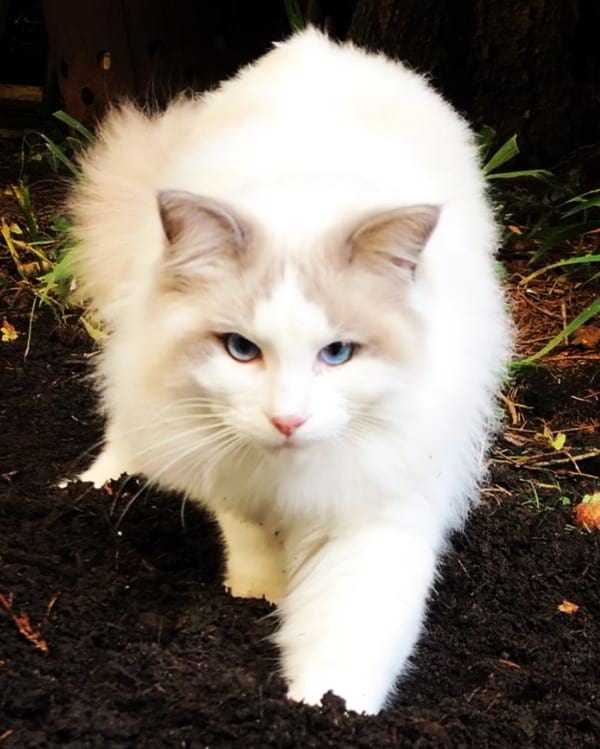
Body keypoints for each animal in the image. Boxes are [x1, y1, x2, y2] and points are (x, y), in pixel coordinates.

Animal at [69, 26, 510, 712]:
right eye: (240, 349)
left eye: (338, 354)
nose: (287, 421)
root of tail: (314, 43)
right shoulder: (231, 472)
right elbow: (249, 541)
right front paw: (258, 595)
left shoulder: (375, 511)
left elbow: (345, 638)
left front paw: (325, 711)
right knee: (125, 424)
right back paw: (94, 482)